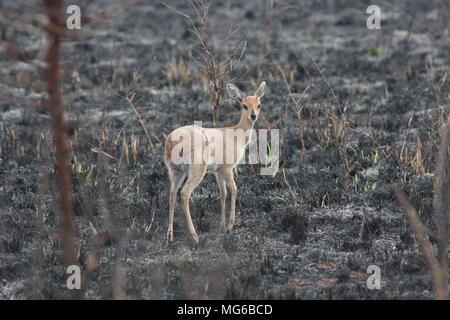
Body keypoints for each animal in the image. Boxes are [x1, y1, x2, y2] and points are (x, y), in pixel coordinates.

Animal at [163, 80, 266, 242]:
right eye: (244, 105)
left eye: (259, 104)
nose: (253, 115)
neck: (236, 135)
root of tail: (173, 140)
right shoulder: (227, 168)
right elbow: (234, 189)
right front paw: (229, 226)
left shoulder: (218, 171)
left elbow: (223, 193)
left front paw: (221, 227)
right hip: (197, 170)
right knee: (184, 194)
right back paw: (195, 237)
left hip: (175, 171)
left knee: (172, 194)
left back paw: (170, 236)